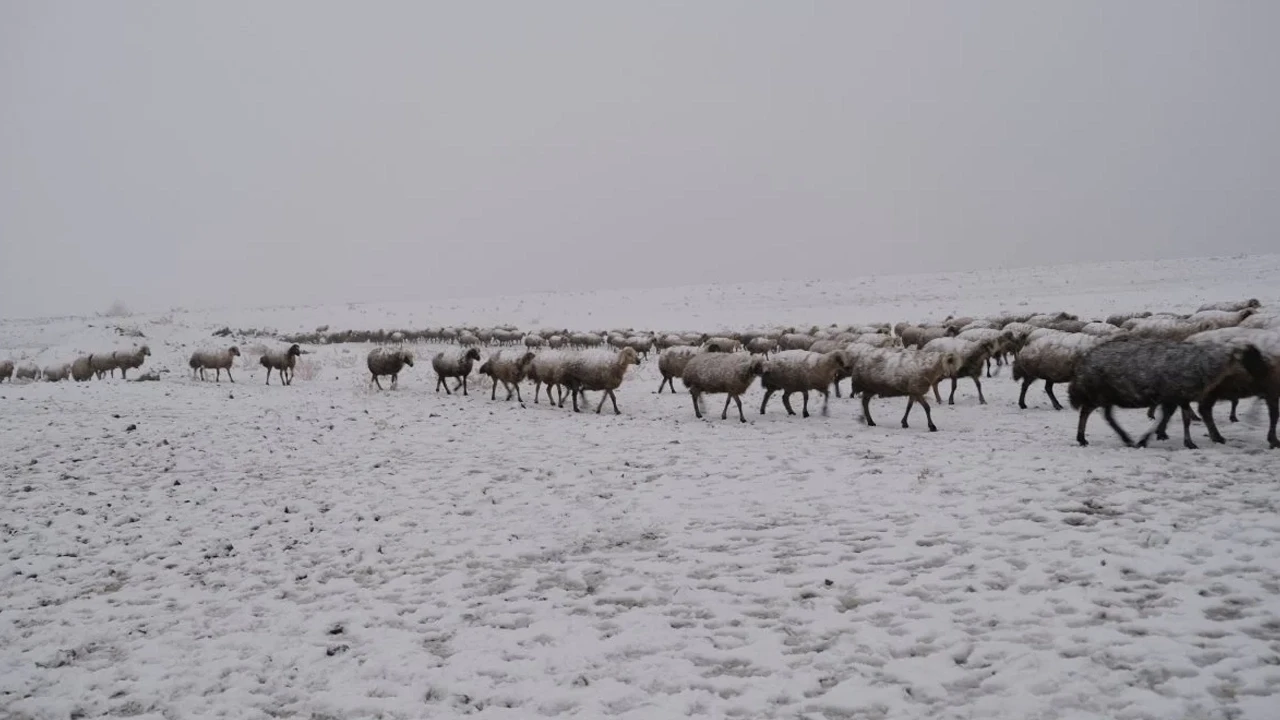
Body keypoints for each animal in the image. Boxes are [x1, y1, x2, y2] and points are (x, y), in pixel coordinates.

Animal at [1064, 333, 1264, 445]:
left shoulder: (1176, 398)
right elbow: (1184, 419)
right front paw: (1187, 442)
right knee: (1088, 412)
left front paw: (1153, 436)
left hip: (1107, 395)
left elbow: (1173, 418)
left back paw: (1120, 438)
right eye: (1253, 356)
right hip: (1100, 393)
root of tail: (1084, 362)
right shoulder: (1177, 395)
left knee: (1103, 415)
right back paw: (1086, 438)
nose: (1264, 376)